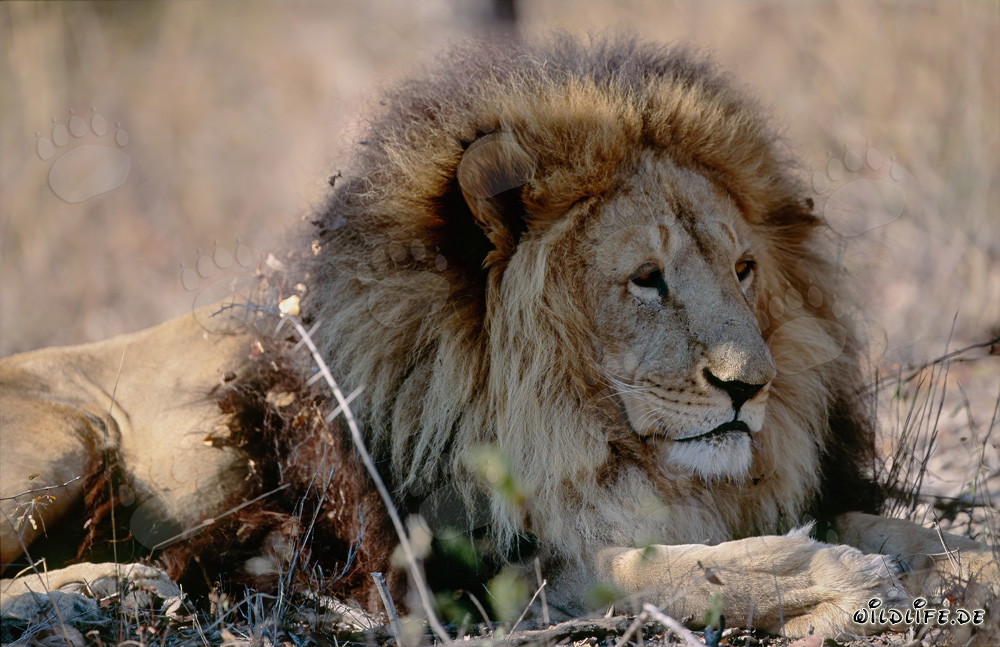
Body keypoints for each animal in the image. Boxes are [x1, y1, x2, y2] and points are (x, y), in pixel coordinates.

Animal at [2, 36, 996, 638]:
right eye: (647, 278)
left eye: (746, 270)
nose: (750, 385)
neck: (579, 434)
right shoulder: (468, 574)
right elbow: (653, 570)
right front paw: (836, 581)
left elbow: (901, 527)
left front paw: (955, 561)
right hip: (64, 437)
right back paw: (109, 585)